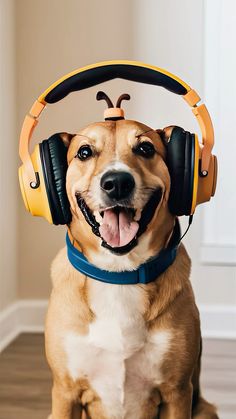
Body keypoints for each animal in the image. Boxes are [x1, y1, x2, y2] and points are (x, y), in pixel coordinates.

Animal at [45, 96, 218, 419]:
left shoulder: (177, 393)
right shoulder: (65, 392)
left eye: (145, 149)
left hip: (204, 409)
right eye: (84, 152)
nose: (117, 183)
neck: (119, 274)